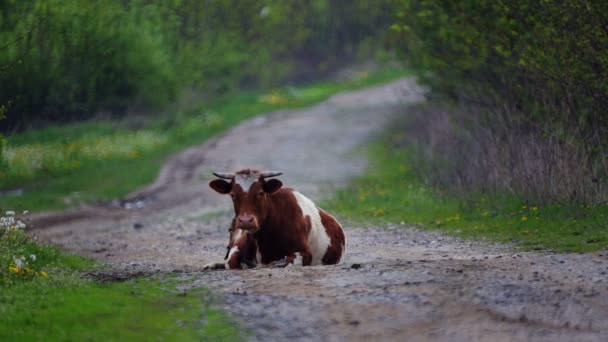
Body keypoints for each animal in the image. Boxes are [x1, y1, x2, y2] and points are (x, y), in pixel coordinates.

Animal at [204, 169, 346, 270]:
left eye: (260, 193)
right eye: (233, 195)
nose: (245, 221)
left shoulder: (305, 252)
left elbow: (289, 260)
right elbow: (230, 262)